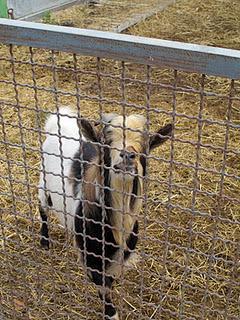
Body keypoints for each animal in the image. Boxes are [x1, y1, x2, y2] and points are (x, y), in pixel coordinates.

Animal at [38, 107, 172, 318]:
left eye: (145, 148)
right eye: (106, 144)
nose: (128, 155)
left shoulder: (119, 258)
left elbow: (110, 280)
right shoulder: (92, 259)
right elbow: (102, 286)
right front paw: (111, 313)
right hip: (43, 183)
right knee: (42, 208)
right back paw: (44, 240)